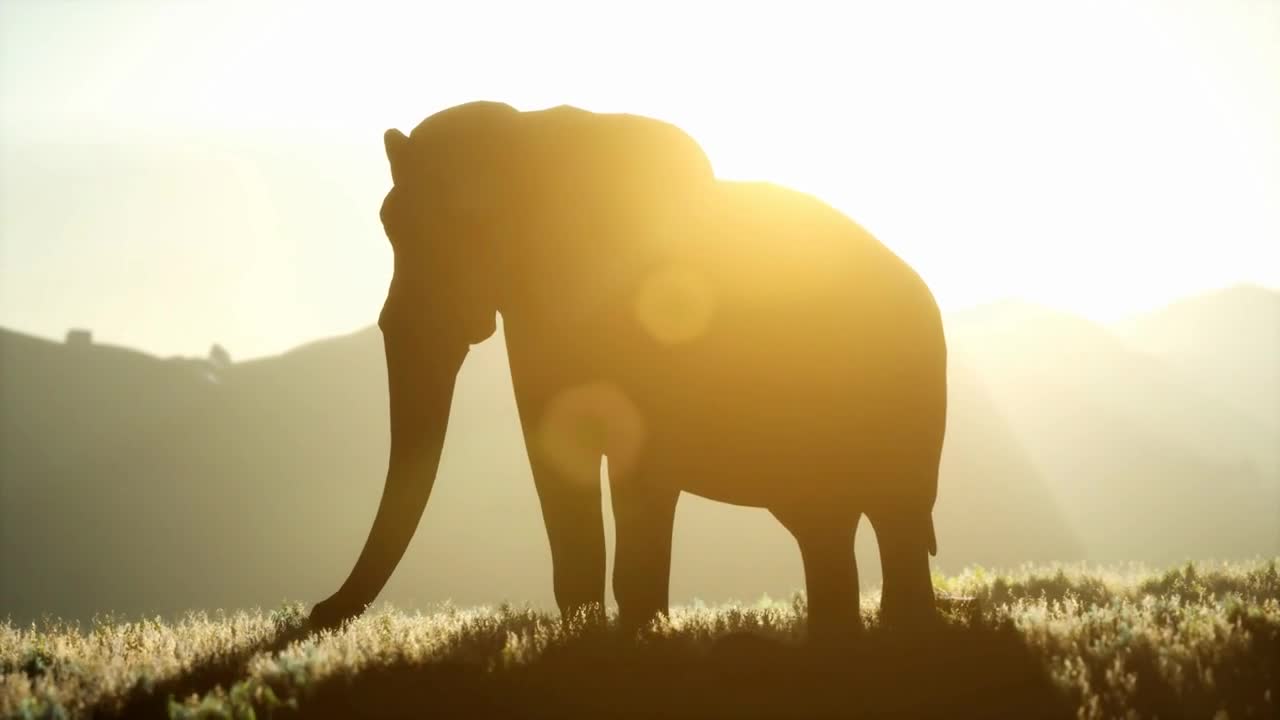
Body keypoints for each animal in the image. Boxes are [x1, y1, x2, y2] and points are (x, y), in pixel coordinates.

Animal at [307, 99, 952, 632]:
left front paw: (637, 633)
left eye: (473, 223)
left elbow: (641, 458)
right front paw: (586, 632)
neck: (533, 136)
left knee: (893, 513)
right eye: (389, 225)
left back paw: (901, 633)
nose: (318, 612)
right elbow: (555, 445)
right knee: (828, 524)